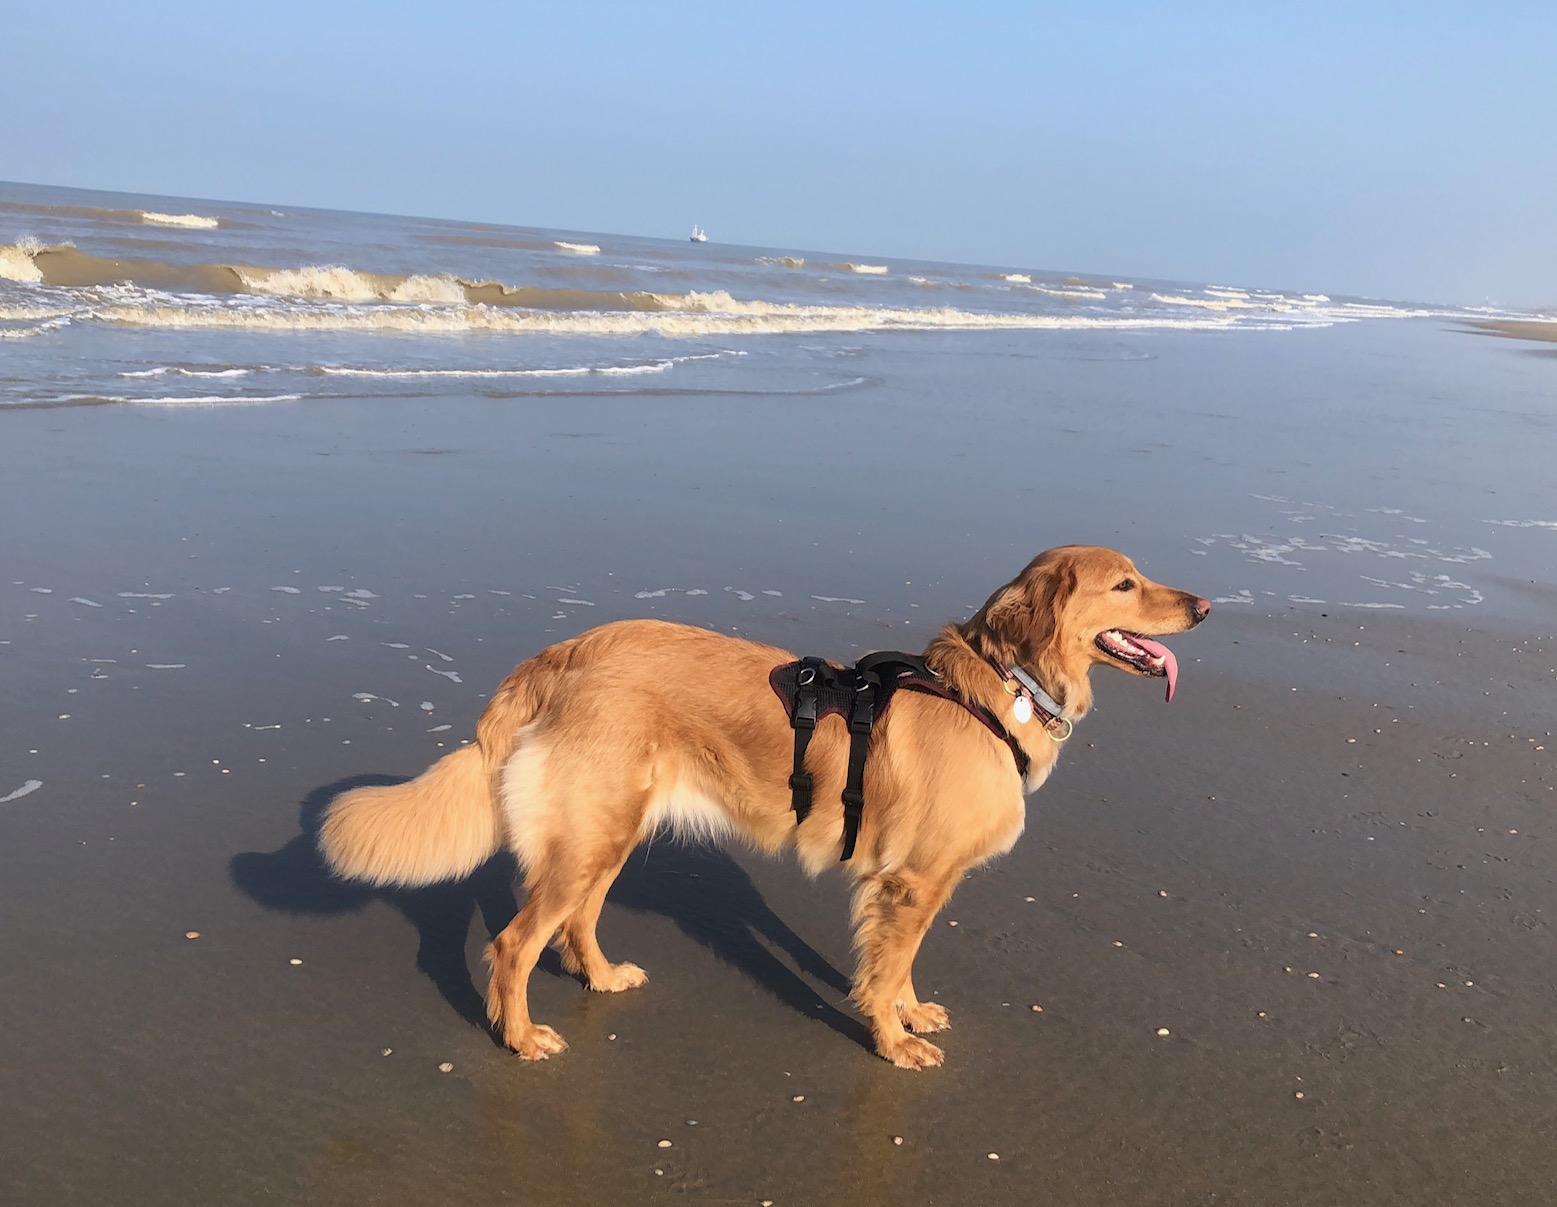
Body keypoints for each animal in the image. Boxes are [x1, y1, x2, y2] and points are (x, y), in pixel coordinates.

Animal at [318, 545, 1209, 1069]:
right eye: (1124, 584)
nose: (1205, 606)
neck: (996, 686)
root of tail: (563, 653)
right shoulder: (913, 881)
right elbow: (884, 968)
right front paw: (890, 1040)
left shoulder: (909, 881)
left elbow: (897, 964)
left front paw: (908, 1013)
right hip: (590, 835)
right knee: (512, 943)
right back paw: (519, 1035)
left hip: (609, 832)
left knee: (577, 922)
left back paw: (600, 975)